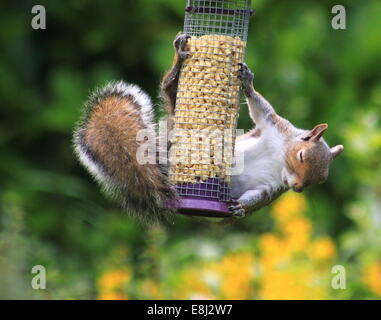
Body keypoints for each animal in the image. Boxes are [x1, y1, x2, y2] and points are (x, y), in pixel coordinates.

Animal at [72, 32, 342, 222]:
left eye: (321, 179)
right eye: (301, 156)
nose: (298, 188)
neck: (280, 155)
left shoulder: (274, 185)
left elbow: (259, 196)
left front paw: (241, 208)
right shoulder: (274, 125)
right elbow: (259, 108)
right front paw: (248, 82)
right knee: (169, 91)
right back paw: (177, 62)